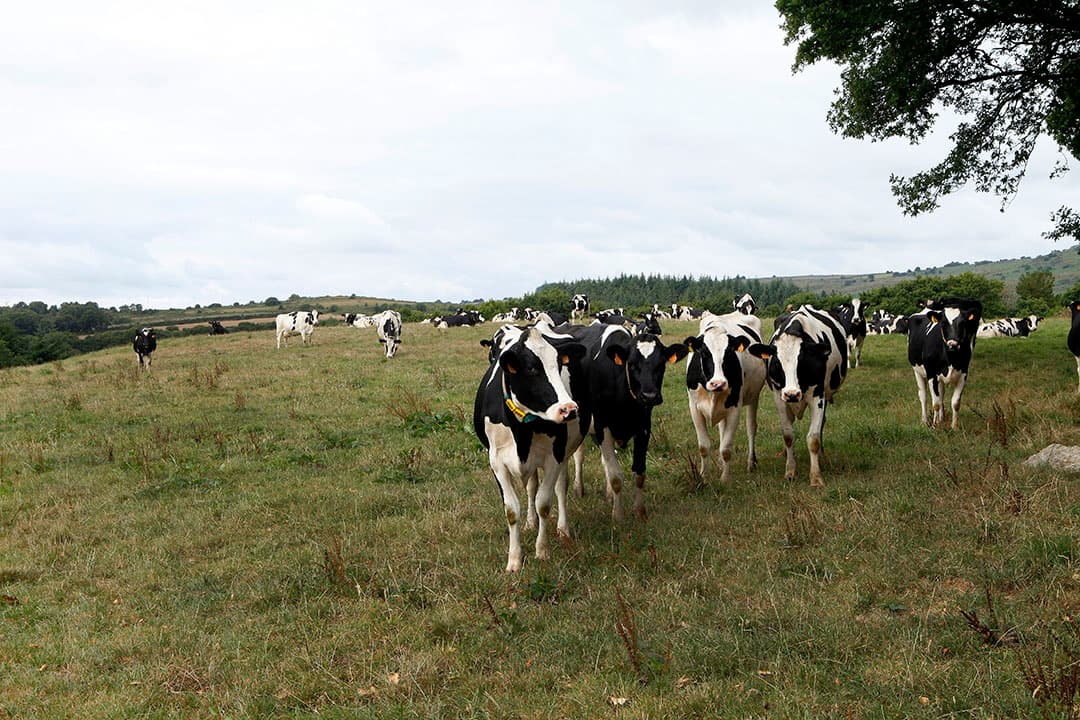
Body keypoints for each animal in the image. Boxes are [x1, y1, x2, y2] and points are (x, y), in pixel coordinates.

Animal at [473, 326, 588, 572]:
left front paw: (542, 551)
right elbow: (511, 510)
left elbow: (544, 503)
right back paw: (530, 522)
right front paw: (514, 559)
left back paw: (563, 529)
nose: (569, 409)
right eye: (532, 368)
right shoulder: (496, 461)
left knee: (560, 487)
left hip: (564, 452)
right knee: (531, 486)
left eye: (559, 364)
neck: (522, 430)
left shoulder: (554, 457)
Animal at [565, 323, 688, 521]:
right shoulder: (602, 426)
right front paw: (618, 515)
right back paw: (579, 489)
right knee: (580, 454)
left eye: (661, 365)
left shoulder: (644, 427)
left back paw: (608, 495)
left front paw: (640, 512)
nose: (649, 396)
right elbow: (616, 476)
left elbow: (639, 472)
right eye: (631, 364)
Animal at [685, 311, 766, 482]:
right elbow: (704, 446)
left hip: (753, 397)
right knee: (722, 429)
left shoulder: (735, 408)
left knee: (751, 428)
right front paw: (704, 476)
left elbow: (727, 448)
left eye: (729, 353)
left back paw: (751, 463)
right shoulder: (694, 408)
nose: (718, 383)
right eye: (704, 353)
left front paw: (724, 480)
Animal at [748, 305, 849, 487]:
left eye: (802, 360)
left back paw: (821, 456)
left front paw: (816, 477)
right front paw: (790, 470)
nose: (792, 394)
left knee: (821, 425)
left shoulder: (818, 397)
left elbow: (813, 438)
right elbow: (788, 435)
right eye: (776, 362)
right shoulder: (779, 398)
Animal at [906, 297, 982, 429]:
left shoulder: (963, 374)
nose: (953, 344)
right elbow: (935, 403)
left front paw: (954, 427)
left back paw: (941, 419)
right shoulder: (931, 374)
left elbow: (955, 402)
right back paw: (924, 421)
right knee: (923, 396)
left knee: (941, 394)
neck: (950, 359)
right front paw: (934, 426)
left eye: (963, 323)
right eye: (943, 324)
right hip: (917, 371)